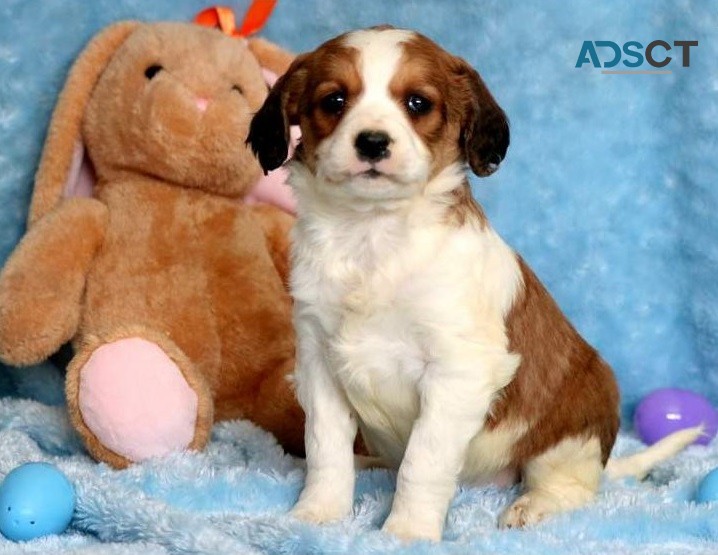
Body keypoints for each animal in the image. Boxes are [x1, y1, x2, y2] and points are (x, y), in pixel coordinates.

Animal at [249, 27, 704, 544]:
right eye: (335, 100)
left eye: (418, 103)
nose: (372, 143)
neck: (374, 235)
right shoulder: (319, 364)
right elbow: (326, 449)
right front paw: (319, 514)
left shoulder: (455, 371)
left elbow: (422, 463)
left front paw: (407, 532)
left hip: (571, 431)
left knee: (571, 486)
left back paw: (535, 505)